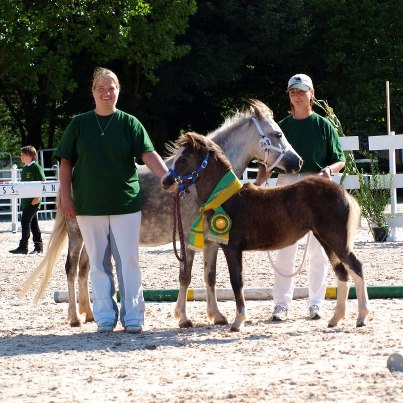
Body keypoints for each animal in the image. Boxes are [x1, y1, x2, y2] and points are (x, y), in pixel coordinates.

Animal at [19, 100, 303, 328]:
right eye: (277, 133)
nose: (298, 162)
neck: (202, 183)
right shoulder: (188, 239)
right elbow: (185, 277)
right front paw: (184, 318)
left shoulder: (212, 240)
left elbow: (209, 277)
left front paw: (217, 316)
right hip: (77, 233)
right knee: (70, 268)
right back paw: (74, 318)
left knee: (85, 270)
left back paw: (89, 314)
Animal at [161, 132, 370, 331]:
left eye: (184, 159)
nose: (166, 182)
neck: (226, 198)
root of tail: (344, 193)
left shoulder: (232, 248)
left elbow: (236, 281)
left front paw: (238, 322)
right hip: (326, 240)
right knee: (342, 272)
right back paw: (335, 319)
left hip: (335, 239)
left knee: (356, 267)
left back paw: (361, 318)